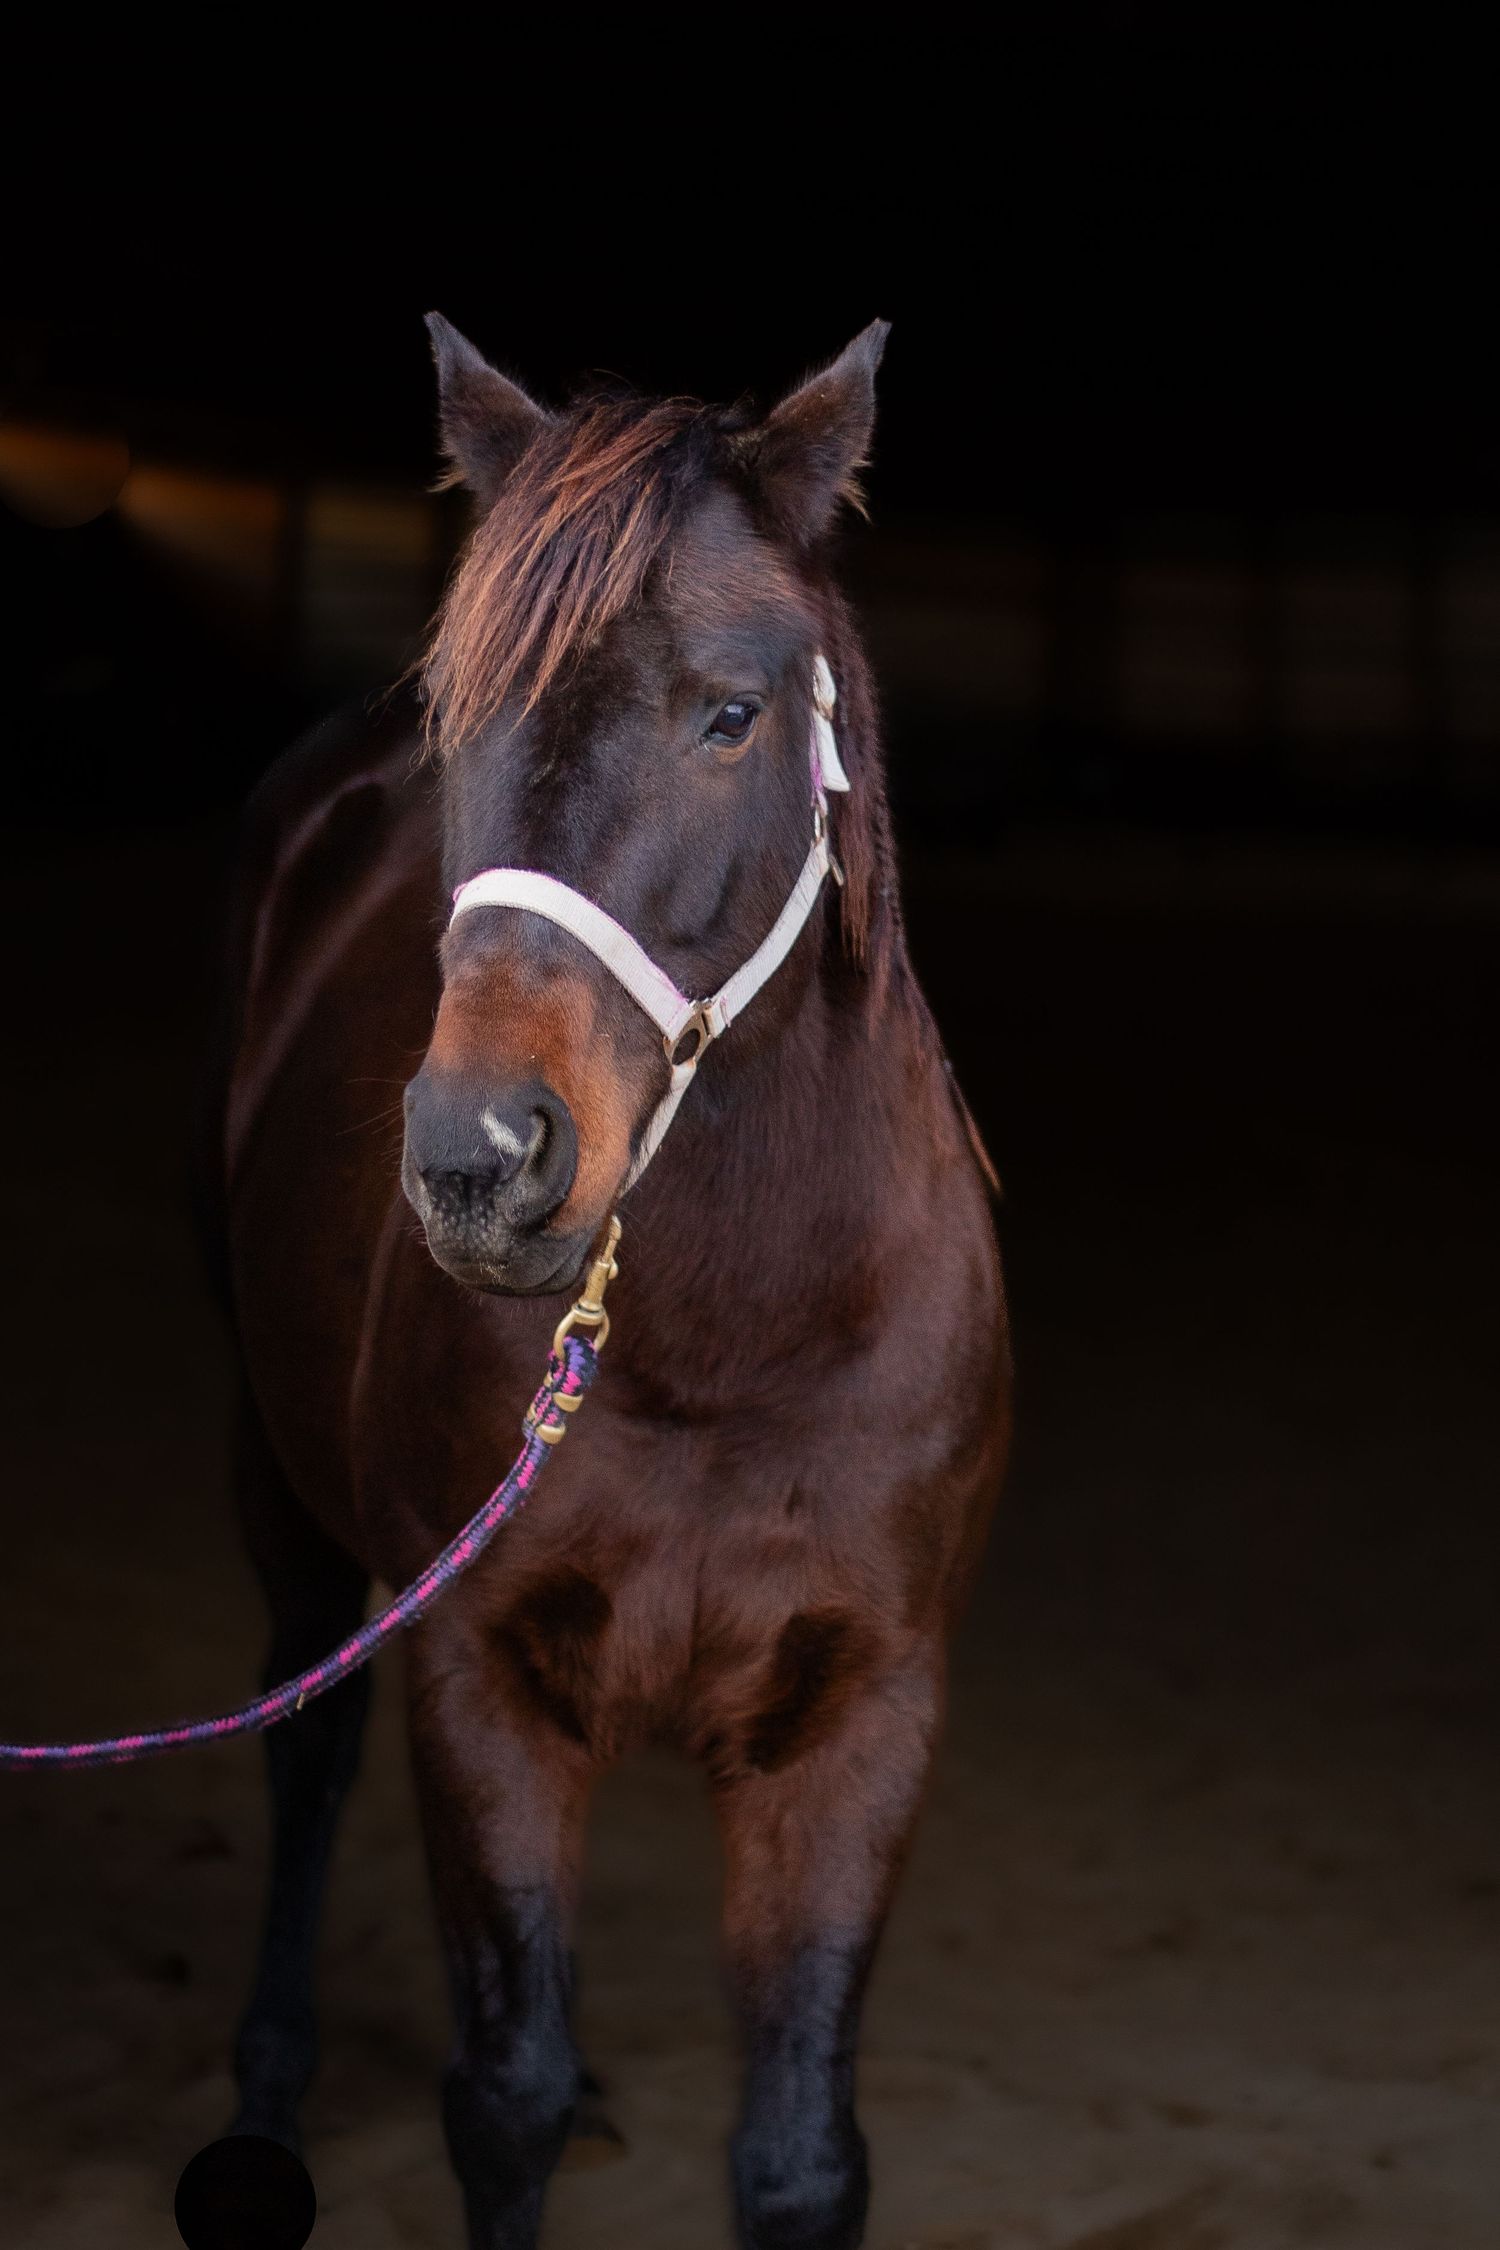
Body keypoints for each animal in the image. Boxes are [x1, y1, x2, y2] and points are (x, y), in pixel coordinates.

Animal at [209, 311, 1011, 2249]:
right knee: (303, 1743)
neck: (736, 1340)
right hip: (274, 1471)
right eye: (456, 714)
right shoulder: (481, 1685)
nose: (480, 1158)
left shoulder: (862, 1717)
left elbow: (798, 2156)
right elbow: (498, 2099)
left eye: (732, 713)